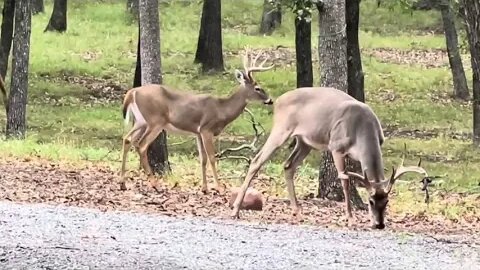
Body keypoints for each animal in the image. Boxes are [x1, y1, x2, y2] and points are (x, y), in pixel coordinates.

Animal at [121, 47, 274, 193]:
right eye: (258, 88)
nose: (270, 100)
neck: (222, 109)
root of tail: (132, 92)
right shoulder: (207, 129)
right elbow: (212, 158)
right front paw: (219, 187)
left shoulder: (198, 133)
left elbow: (203, 159)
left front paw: (204, 188)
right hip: (155, 120)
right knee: (141, 145)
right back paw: (154, 184)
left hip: (141, 121)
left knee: (127, 139)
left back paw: (123, 183)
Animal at [229, 87, 428, 230]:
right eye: (370, 202)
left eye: (386, 202)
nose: (379, 224)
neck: (363, 130)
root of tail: (277, 100)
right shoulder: (337, 147)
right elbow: (345, 180)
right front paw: (350, 219)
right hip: (281, 129)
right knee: (257, 160)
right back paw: (235, 210)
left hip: (304, 141)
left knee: (288, 165)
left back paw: (297, 211)